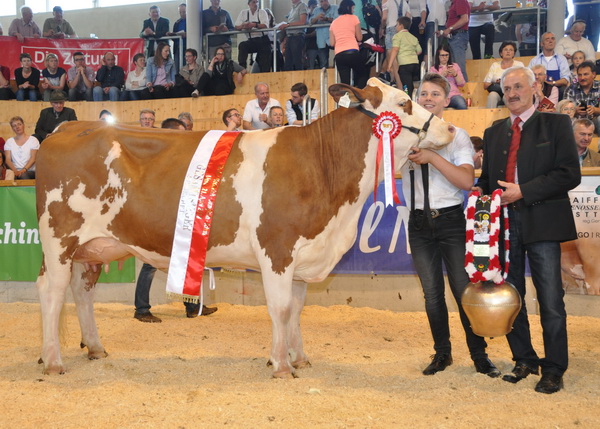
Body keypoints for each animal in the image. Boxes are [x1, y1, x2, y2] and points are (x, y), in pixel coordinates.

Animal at [34, 78, 454, 376]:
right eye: (403, 103)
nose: (450, 130)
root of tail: (67, 127)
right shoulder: (277, 249)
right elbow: (280, 308)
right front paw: (281, 365)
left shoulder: (302, 255)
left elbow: (296, 310)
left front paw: (299, 357)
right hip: (59, 238)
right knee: (52, 291)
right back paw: (53, 360)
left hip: (92, 247)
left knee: (82, 290)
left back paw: (94, 347)